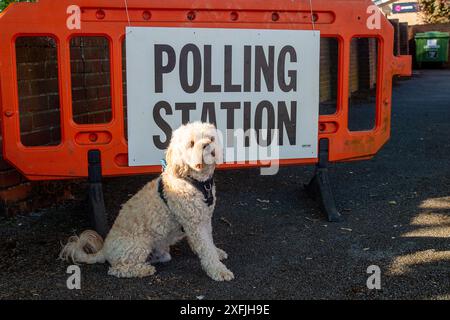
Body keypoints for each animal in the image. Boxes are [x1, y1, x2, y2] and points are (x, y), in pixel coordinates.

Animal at [59, 121, 234, 282]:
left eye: (211, 138)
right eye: (191, 143)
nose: (207, 145)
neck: (197, 181)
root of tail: (104, 250)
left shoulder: (204, 219)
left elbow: (209, 242)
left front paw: (217, 252)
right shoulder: (194, 224)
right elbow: (206, 249)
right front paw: (219, 270)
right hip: (139, 245)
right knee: (117, 269)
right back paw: (143, 270)